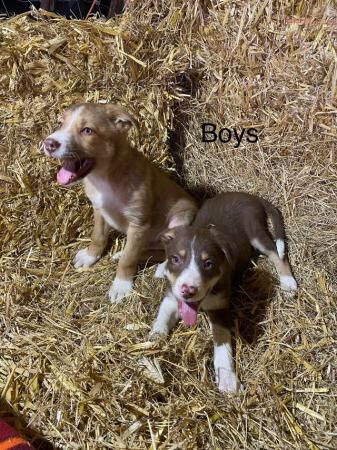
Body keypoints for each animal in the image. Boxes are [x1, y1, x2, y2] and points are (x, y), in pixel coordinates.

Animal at [44, 103, 197, 302]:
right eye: (60, 124)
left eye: (87, 130)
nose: (48, 143)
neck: (104, 177)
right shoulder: (99, 210)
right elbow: (98, 237)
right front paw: (90, 256)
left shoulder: (139, 224)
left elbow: (129, 259)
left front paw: (121, 286)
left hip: (181, 218)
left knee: (167, 250)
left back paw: (162, 267)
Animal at [150, 192, 296, 392]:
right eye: (176, 259)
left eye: (208, 263)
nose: (188, 291)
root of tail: (249, 196)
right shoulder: (173, 295)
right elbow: (163, 314)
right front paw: (155, 336)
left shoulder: (220, 308)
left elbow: (222, 344)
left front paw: (227, 379)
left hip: (254, 230)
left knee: (276, 253)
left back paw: (288, 282)